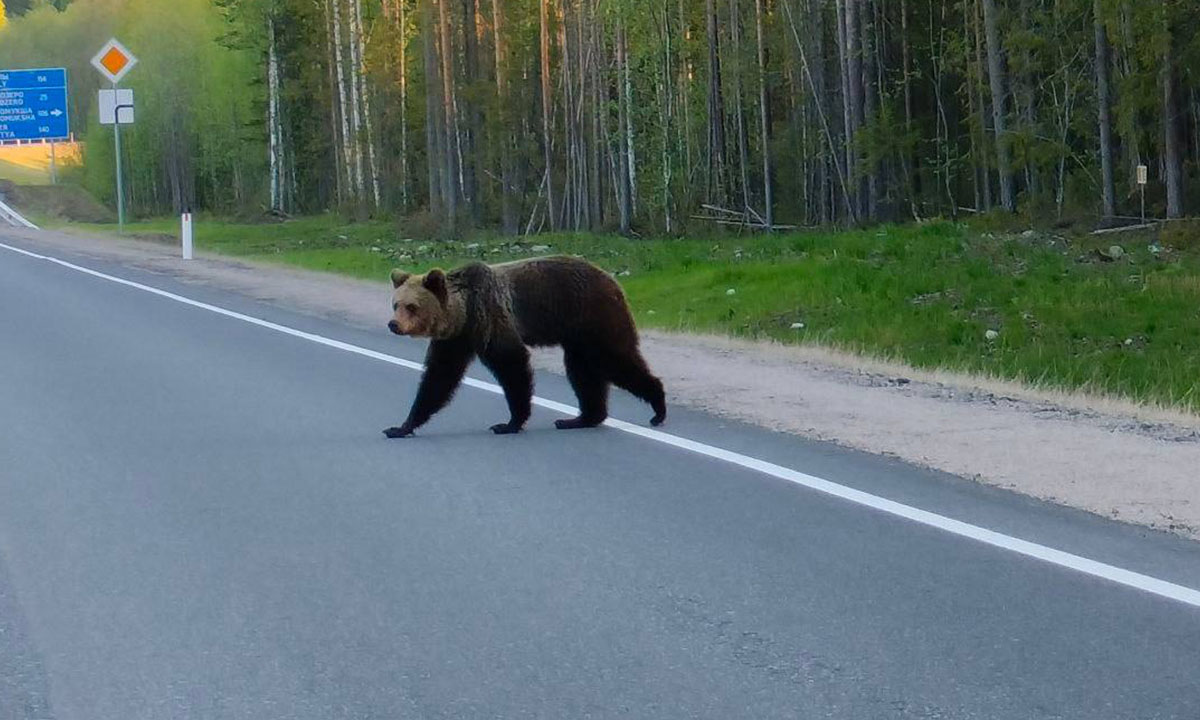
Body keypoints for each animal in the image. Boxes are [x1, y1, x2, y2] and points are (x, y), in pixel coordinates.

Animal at [384, 259, 667, 439]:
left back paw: (658, 407)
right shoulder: (456, 339)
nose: (393, 324)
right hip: (578, 335)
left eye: (411, 306)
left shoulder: (492, 319)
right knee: (582, 371)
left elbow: (513, 365)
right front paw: (401, 427)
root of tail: (611, 279)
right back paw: (580, 418)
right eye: (395, 304)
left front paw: (509, 423)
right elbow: (439, 378)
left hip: (595, 316)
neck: (463, 314)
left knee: (615, 359)